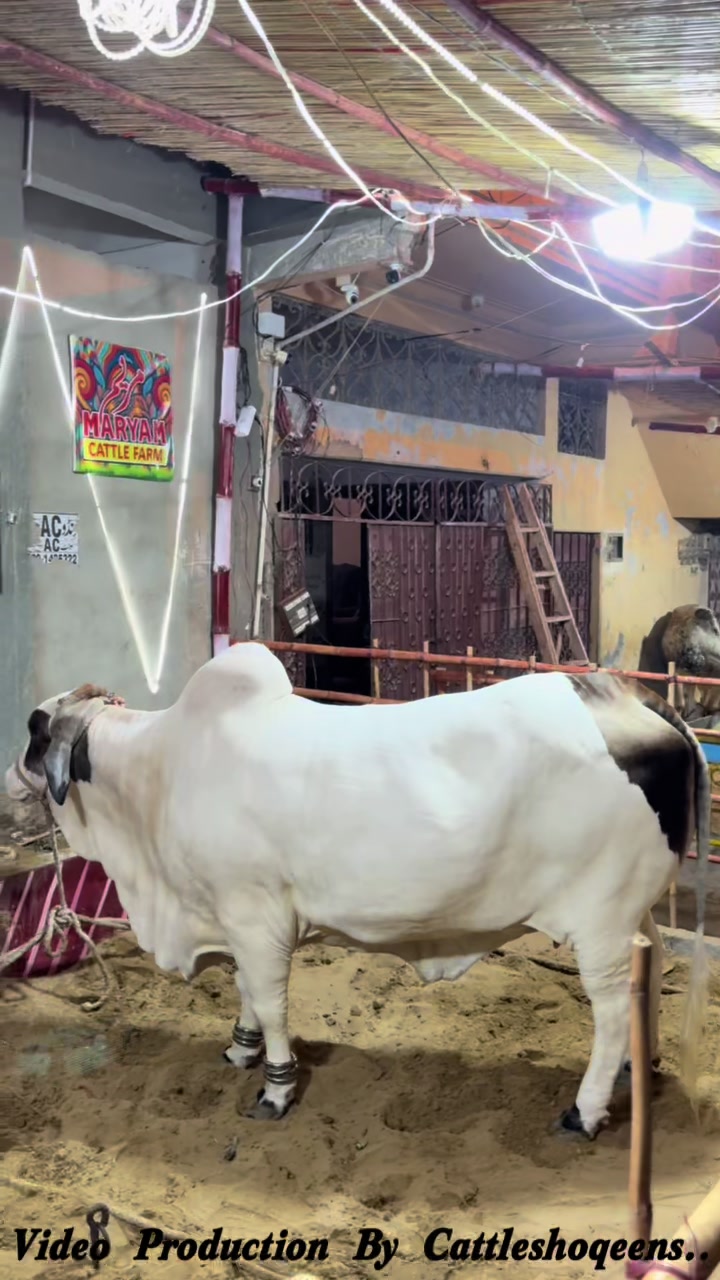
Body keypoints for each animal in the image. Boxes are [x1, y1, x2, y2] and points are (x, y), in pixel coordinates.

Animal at [3, 644, 710, 1142]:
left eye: (35, 730)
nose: (10, 773)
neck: (158, 774)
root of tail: (644, 705)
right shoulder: (233, 916)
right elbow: (246, 994)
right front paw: (239, 1049)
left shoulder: (254, 913)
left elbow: (270, 1001)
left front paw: (275, 1090)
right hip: (632, 912)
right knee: (650, 974)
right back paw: (636, 1068)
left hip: (600, 921)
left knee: (613, 1009)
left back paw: (585, 1110)